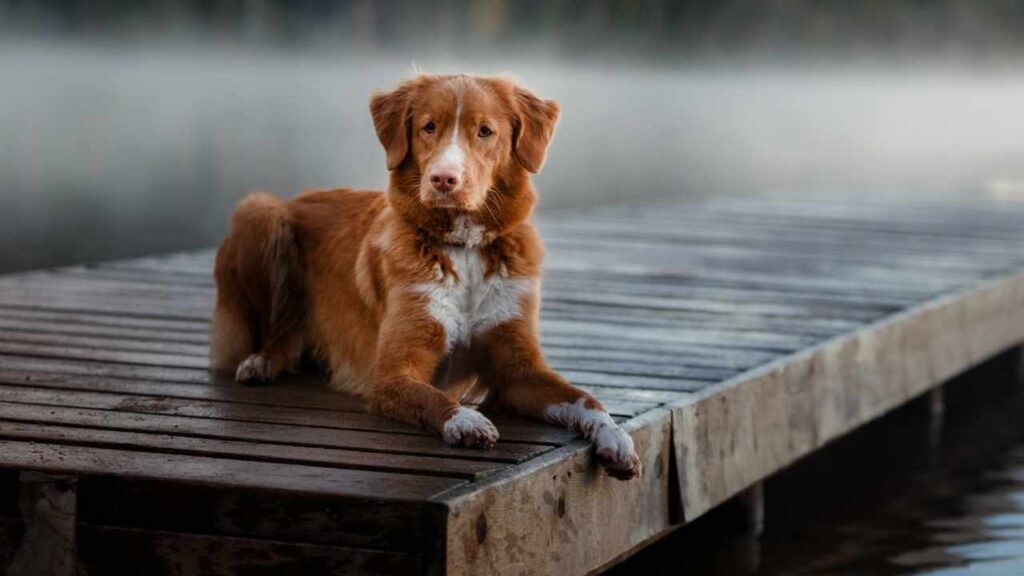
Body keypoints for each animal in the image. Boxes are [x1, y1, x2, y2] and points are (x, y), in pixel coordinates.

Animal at [209, 73, 638, 477]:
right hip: (261, 211)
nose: (444, 179)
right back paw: (263, 362)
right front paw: (465, 420)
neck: (464, 249)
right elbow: (434, 396)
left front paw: (615, 436)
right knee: (281, 329)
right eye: (428, 127)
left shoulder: (520, 370)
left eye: (485, 131)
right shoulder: (393, 372)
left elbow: (584, 398)